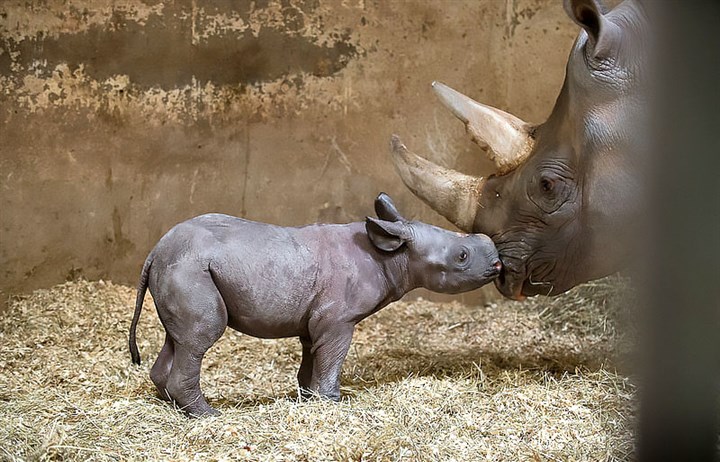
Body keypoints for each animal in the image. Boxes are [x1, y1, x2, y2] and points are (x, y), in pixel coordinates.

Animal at [128, 193, 500, 417]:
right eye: (462, 257)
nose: (498, 263)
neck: (392, 254)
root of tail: (155, 250)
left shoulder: (316, 317)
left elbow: (311, 355)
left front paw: (308, 398)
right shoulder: (338, 318)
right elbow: (333, 356)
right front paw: (333, 401)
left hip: (182, 268)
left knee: (178, 338)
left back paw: (171, 406)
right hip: (190, 269)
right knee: (200, 336)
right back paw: (208, 415)